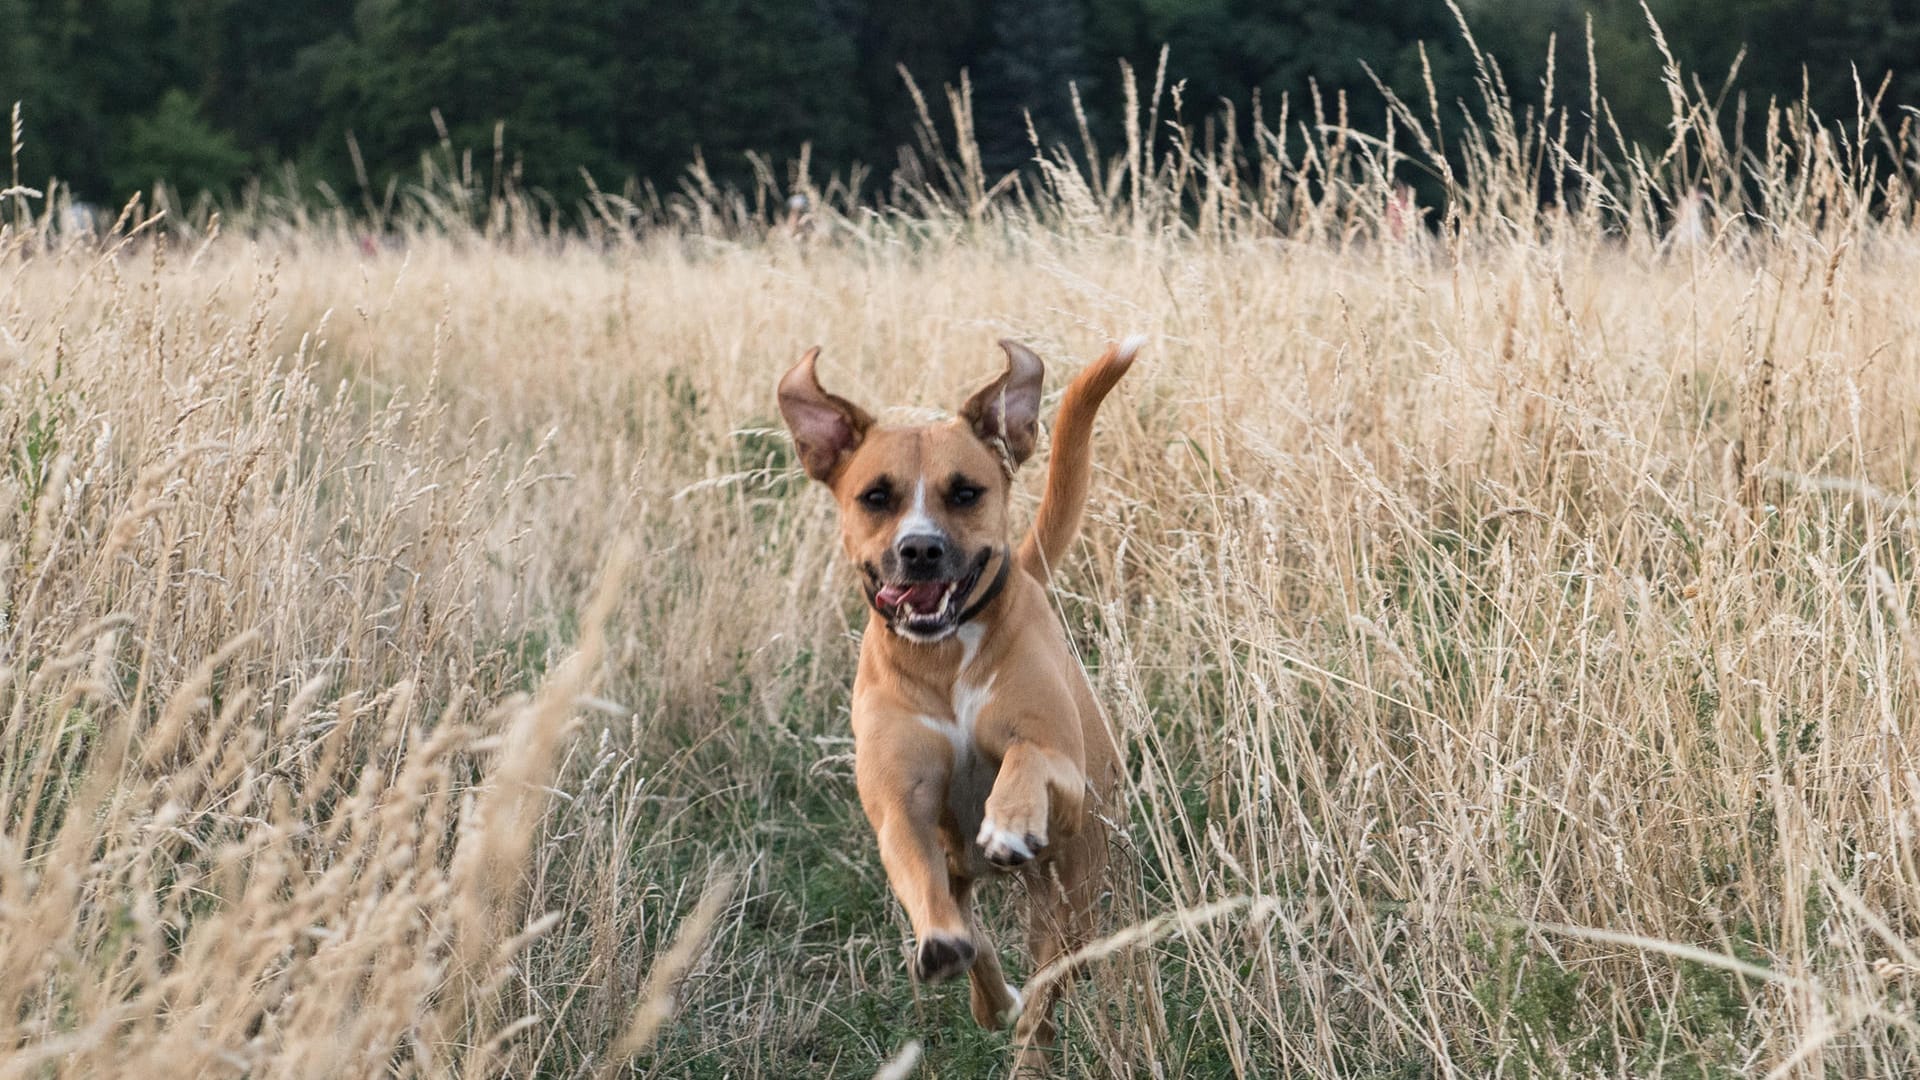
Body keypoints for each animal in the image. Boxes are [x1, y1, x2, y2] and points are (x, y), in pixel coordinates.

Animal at [779, 332, 1136, 1060]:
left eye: (966, 492)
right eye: (876, 497)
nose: (919, 549)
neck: (944, 657)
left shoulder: (1060, 769)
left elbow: (1026, 757)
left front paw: (1008, 819)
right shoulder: (901, 813)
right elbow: (929, 895)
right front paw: (945, 948)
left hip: (1074, 897)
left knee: (1046, 997)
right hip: (971, 874)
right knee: (984, 955)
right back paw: (986, 990)